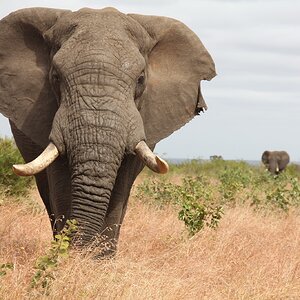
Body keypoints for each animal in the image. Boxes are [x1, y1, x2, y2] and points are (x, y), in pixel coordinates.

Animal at [0, 7, 216, 255]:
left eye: (140, 79)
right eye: (55, 77)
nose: (79, 250)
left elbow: (121, 187)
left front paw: (99, 259)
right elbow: (60, 183)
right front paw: (68, 257)